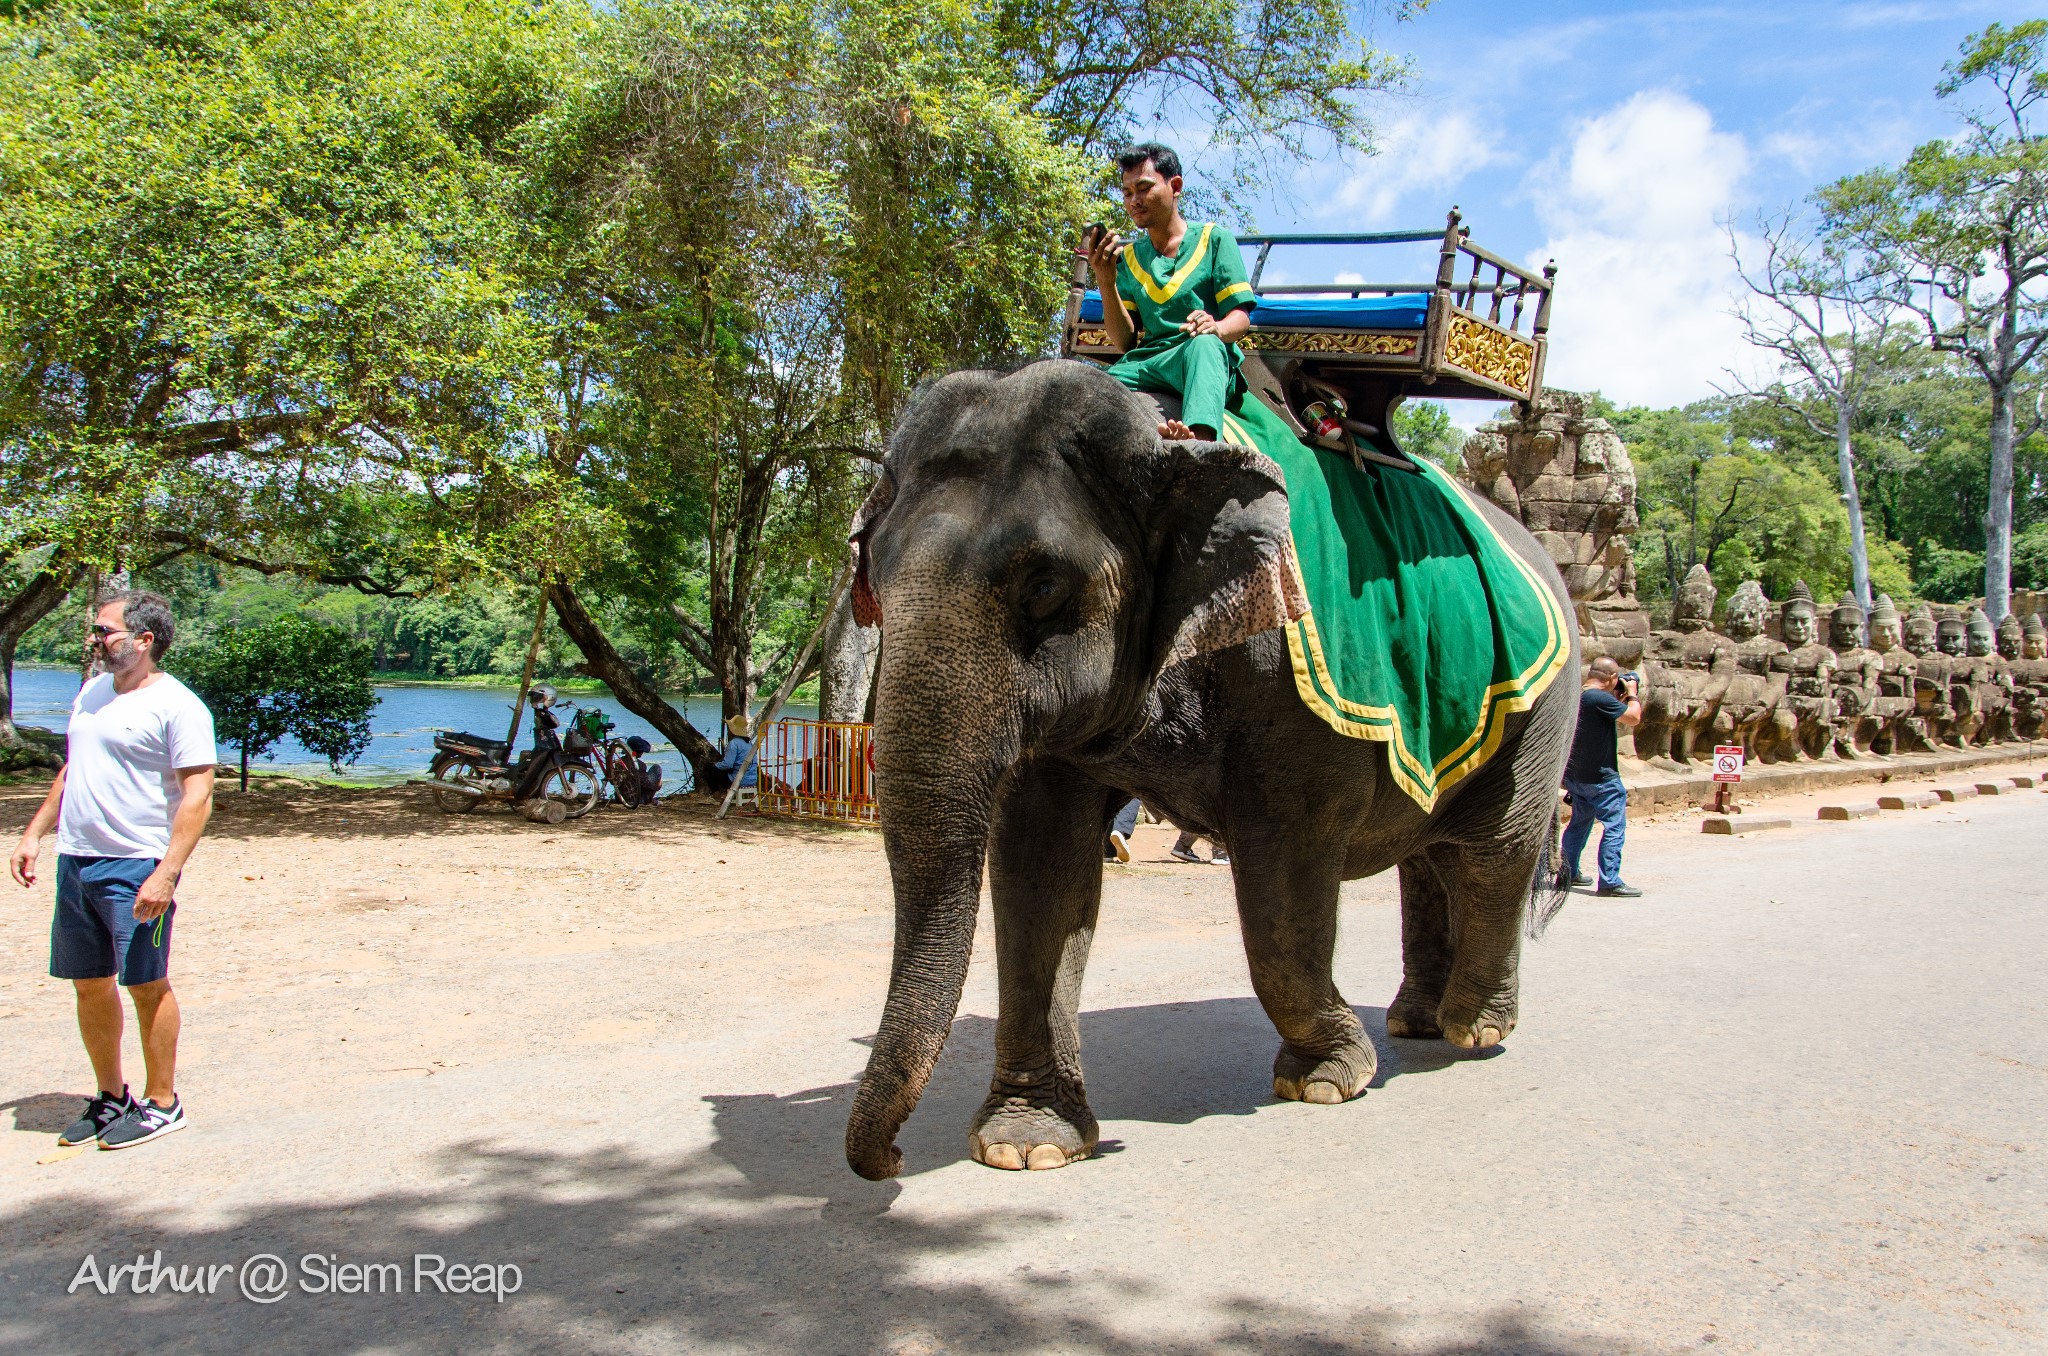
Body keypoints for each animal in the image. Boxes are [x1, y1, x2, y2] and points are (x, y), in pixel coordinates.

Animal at [839, 360, 1572, 1179]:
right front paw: (1027, 1144)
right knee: (1428, 858)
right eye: (874, 579)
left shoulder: (1290, 684)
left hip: (1546, 700)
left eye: (1044, 587)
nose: (891, 1158)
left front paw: (1328, 1079)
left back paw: (1475, 1029)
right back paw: (1416, 1022)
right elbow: (1040, 867)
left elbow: (1282, 876)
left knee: (1495, 854)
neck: (1165, 438)